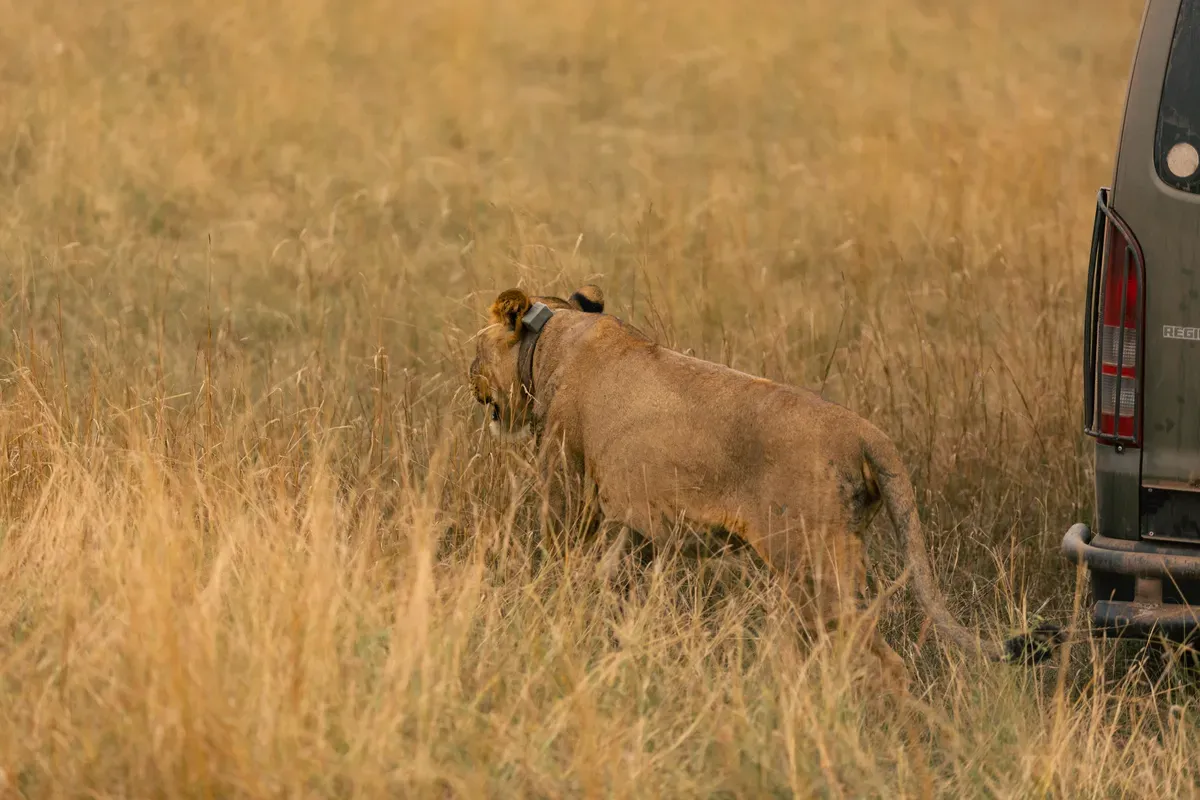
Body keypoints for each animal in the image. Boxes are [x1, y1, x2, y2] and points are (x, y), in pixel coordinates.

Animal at [466, 283, 1062, 682]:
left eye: (474, 353)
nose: (468, 380)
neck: (558, 337)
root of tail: (863, 429)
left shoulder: (567, 483)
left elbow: (557, 554)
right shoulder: (636, 524)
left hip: (811, 566)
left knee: (882, 663)